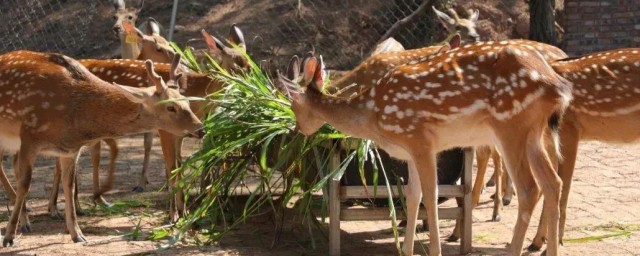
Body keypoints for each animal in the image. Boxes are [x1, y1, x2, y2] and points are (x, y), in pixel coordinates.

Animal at [0, 50, 202, 246]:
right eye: (170, 107)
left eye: (188, 101)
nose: (200, 129)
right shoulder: (29, 136)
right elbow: (25, 185)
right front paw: (9, 237)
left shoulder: (69, 150)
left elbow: (69, 186)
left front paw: (78, 235)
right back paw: (23, 221)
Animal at [278, 37, 568, 254]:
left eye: (293, 106)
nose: (297, 128)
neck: (373, 114)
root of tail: (557, 85)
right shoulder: (408, 151)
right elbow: (412, 195)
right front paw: (406, 250)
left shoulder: (421, 140)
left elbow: (431, 195)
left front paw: (433, 249)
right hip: (534, 132)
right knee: (553, 182)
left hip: (510, 126)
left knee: (530, 188)